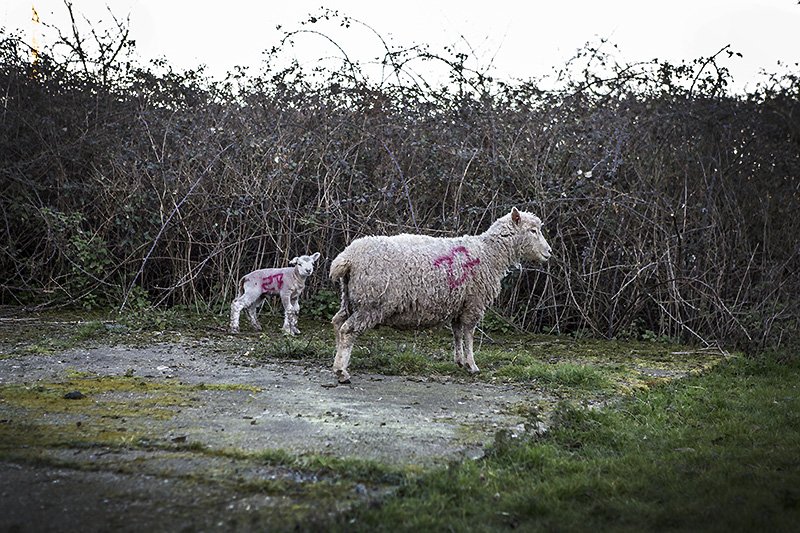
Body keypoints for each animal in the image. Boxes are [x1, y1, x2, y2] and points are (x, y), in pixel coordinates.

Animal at [329, 207, 552, 383]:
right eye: (533, 231)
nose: (549, 252)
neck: (490, 253)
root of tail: (347, 258)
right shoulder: (474, 303)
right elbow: (469, 334)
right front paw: (472, 365)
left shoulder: (459, 304)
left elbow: (457, 333)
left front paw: (460, 361)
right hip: (372, 302)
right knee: (347, 330)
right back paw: (342, 372)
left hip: (350, 298)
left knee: (337, 322)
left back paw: (337, 360)